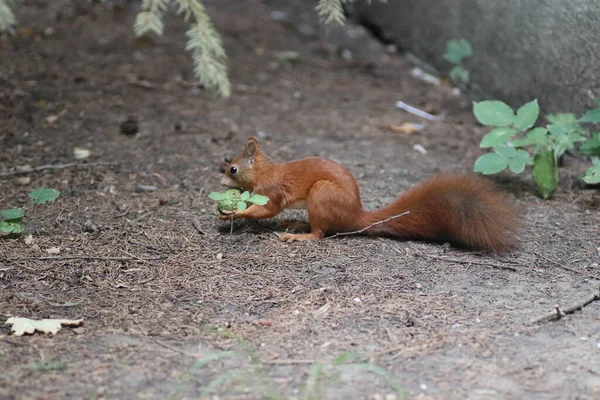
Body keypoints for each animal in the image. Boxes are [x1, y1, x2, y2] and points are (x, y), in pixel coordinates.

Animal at [218, 138, 516, 253]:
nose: (221, 182)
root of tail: (356, 215)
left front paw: (233, 211)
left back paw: (300, 235)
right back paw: (296, 223)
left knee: (320, 233)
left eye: (233, 168)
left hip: (322, 194)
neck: (265, 171)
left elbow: (267, 209)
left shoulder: (271, 191)